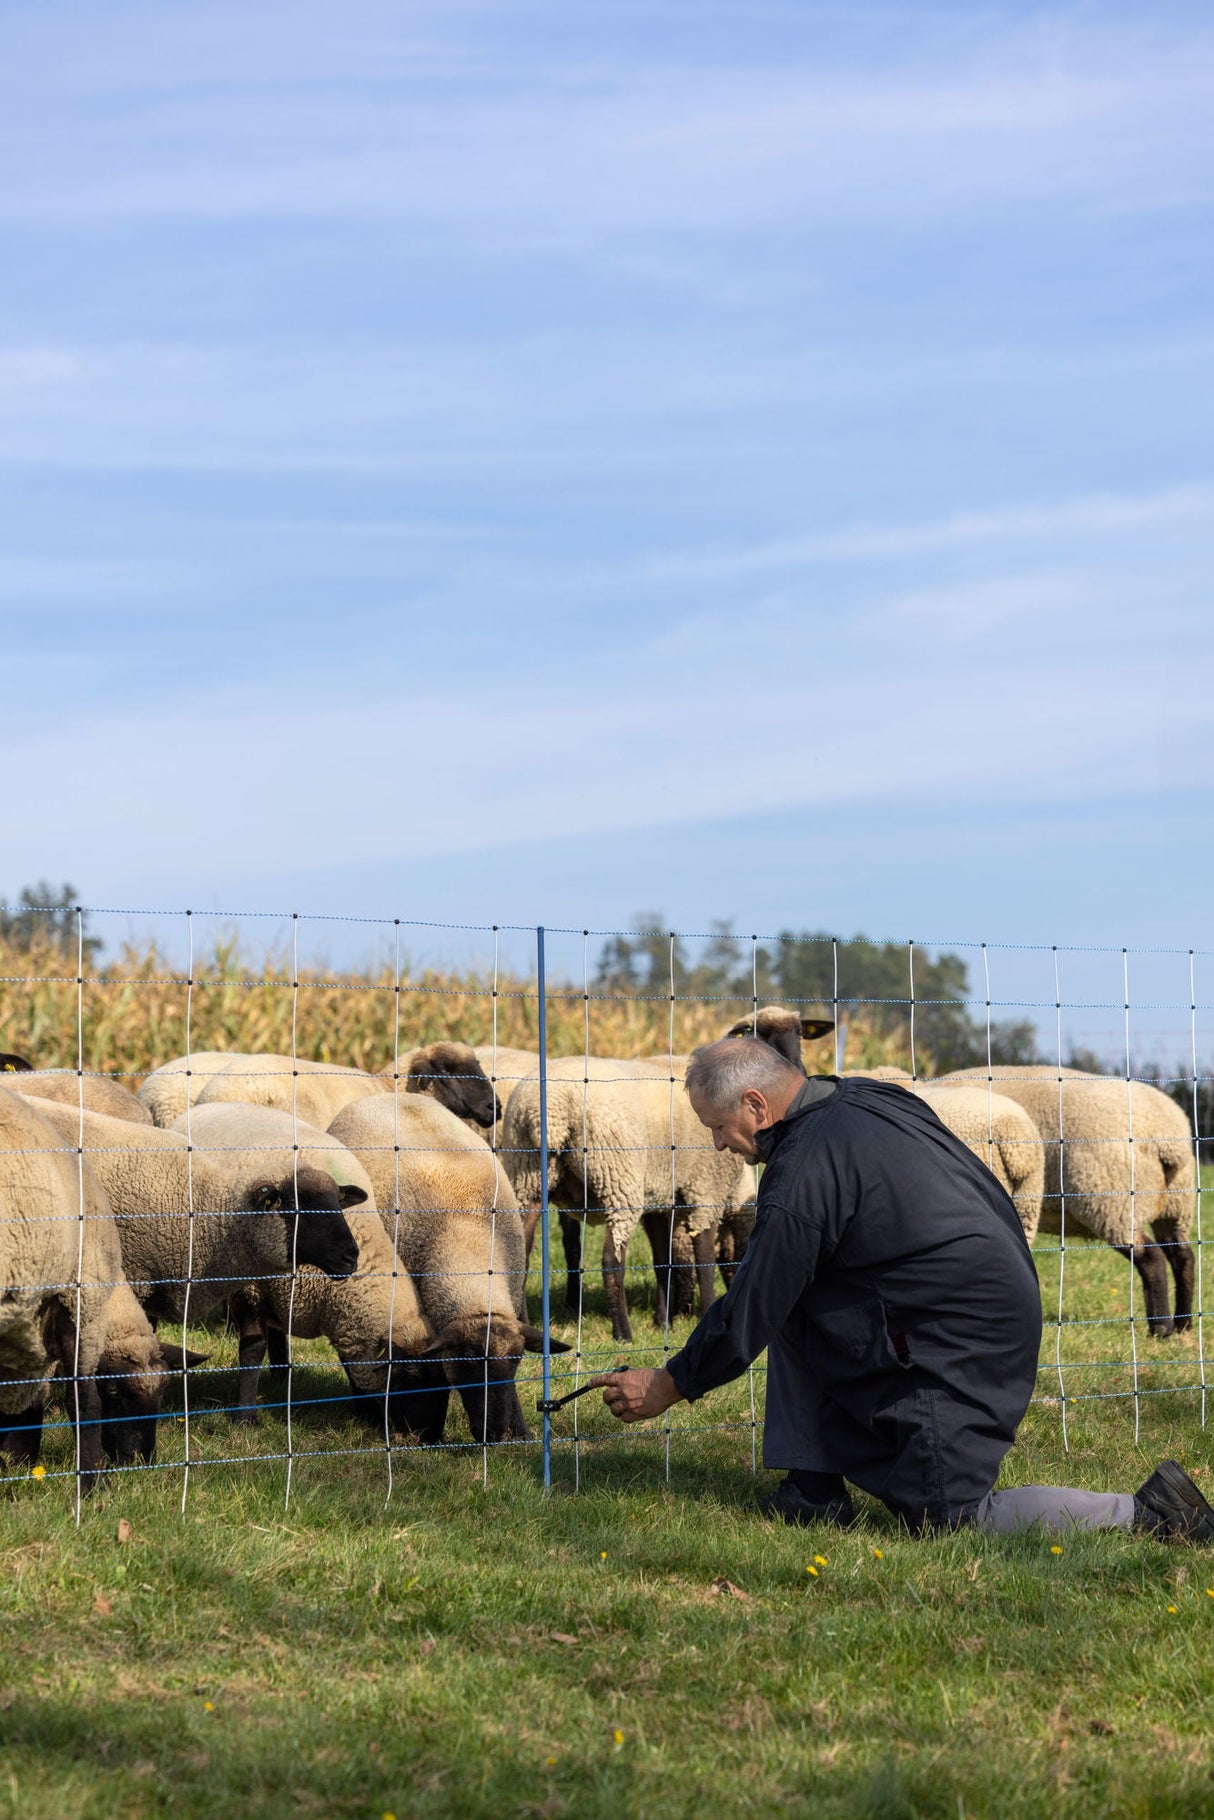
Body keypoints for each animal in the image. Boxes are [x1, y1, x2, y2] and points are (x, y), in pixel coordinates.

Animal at [0, 1084, 182, 1485]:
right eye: (114, 1389)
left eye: (165, 1393)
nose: (140, 1461)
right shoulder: (77, 1300)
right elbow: (82, 1400)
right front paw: (92, 1483)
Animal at [171, 1099, 451, 1441]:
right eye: (411, 1376)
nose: (432, 1440)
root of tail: (208, 1106)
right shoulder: (250, 1290)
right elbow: (252, 1351)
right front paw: (245, 1416)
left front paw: (365, 1414)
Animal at [502, 1062, 749, 1346]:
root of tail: (552, 1111)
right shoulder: (706, 1189)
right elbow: (705, 1257)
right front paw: (706, 1311)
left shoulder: (660, 1203)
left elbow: (662, 1260)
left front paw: (663, 1320)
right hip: (618, 1181)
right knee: (612, 1261)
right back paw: (623, 1333)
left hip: (526, 1177)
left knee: (521, 1255)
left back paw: (525, 1326)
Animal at [931, 1062, 1193, 1339]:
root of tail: (1168, 1138)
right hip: (1175, 1204)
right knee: (1182, 1255)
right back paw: (1183, 1325)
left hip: (1113, 1200)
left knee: (1151, 1257)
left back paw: (1161, 1328)